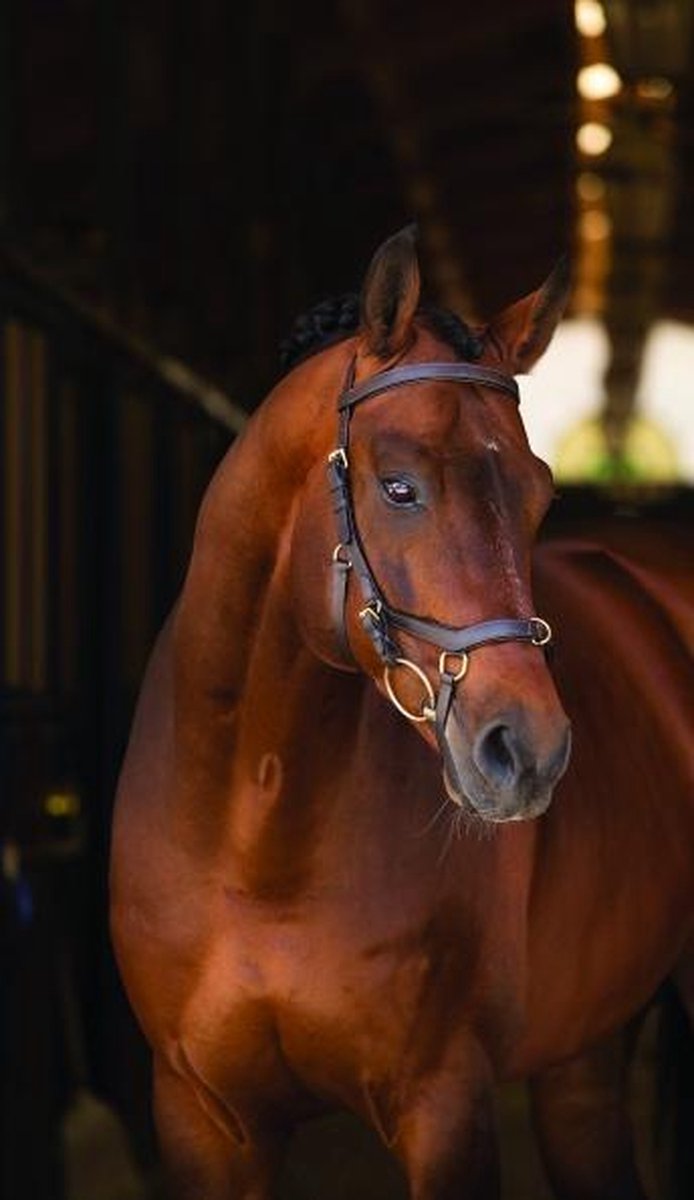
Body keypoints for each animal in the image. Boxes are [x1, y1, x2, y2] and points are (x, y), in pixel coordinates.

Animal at [110, 226, 694, 1199]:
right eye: (397, 488)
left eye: (539, 494)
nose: (527, 752)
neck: (257, 837)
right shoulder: (202, 1116)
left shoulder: (444, 1107)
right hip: (583, 1057)